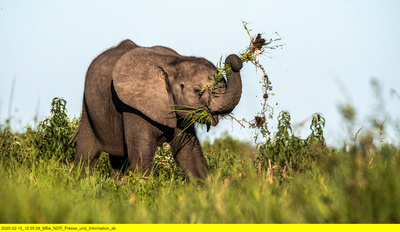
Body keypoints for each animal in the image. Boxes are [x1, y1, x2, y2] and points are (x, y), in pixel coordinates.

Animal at [68, 39, 244, 181]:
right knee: (86, 155)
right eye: (196, 90)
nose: (233, 61)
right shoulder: (133, 105)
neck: (174, 63)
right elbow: (142, 154)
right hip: (88, 109)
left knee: (118, 161)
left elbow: (188, 153)